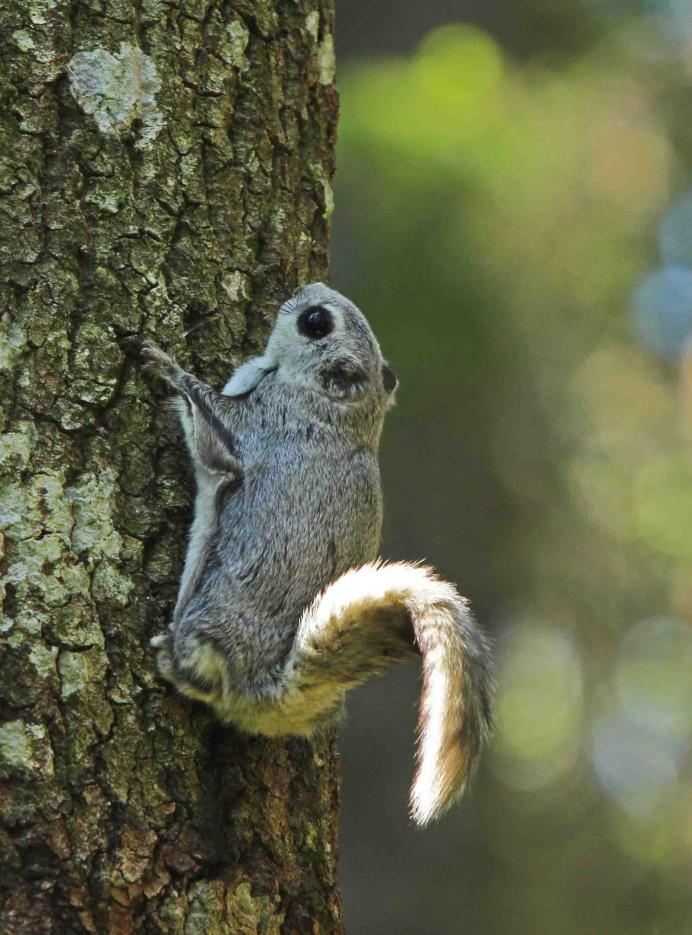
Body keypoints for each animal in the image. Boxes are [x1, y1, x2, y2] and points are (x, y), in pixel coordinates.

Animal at [143, 282, 494, 824]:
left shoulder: (254, 427)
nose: (307, 287)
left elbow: (208, 421)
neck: (336, 409)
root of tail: (268, 689)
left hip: (214, 624)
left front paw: (165, 366)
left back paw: (172, 661)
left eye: (315, 322)